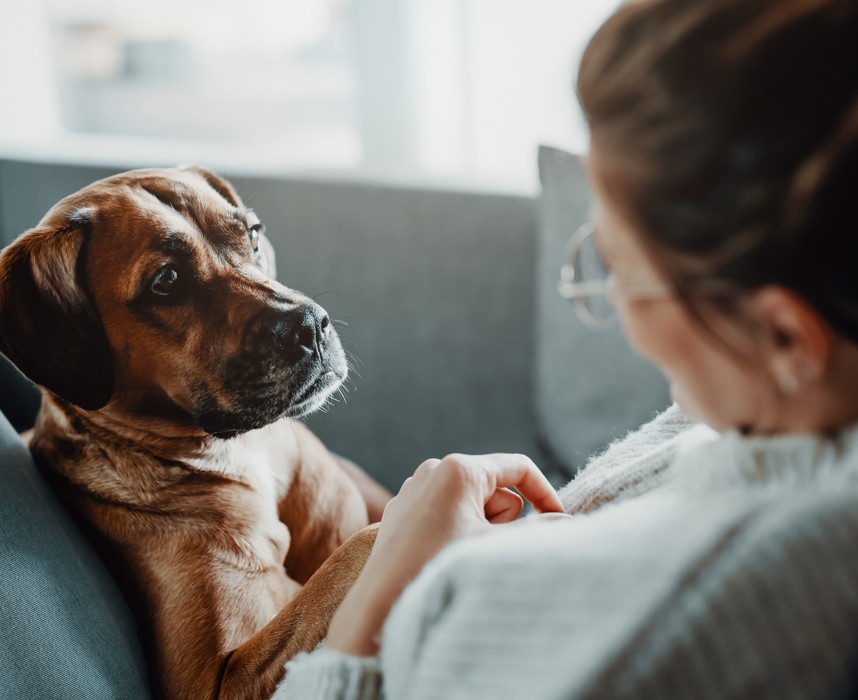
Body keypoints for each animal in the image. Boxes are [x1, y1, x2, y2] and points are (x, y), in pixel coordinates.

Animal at [0, 168, 388, 700]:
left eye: (252, 234)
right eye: (167, 281)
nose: (310, 324)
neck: (241, 453)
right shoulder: (215, 680)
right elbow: (361, 545)